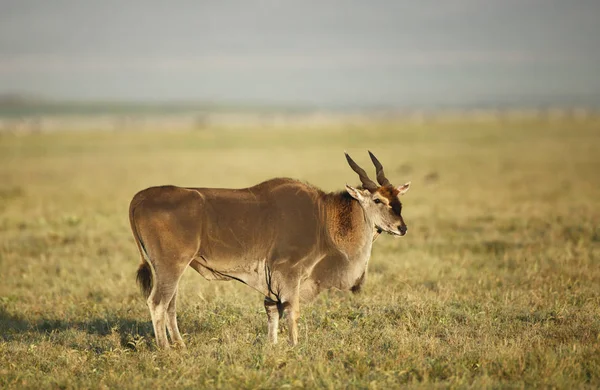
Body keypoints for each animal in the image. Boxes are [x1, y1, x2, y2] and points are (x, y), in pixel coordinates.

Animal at [129, 151, 410, 348]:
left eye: (398, 200)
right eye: (378, 200)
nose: (402, 228)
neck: (323, 216)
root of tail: (140, 198)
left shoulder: (272, 283)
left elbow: (272, 310)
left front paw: (272, 346)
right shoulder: (289, 273)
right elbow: (292, 311)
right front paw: (295, 347)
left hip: (171, 269)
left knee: (170, 305)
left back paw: (180, 345)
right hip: (171, 267)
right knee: (157, 303)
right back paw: (165, 349)